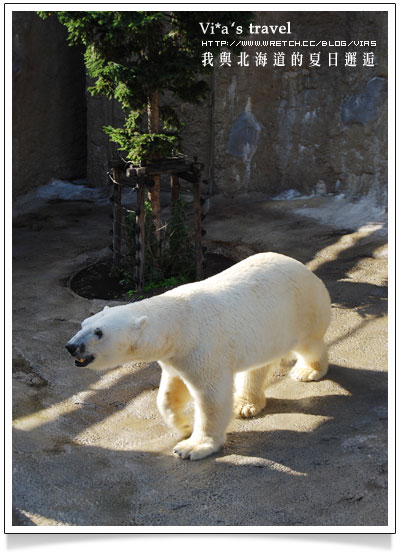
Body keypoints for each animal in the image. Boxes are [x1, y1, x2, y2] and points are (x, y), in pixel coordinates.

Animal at [66, 253, 332, 460]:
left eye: (99, 332)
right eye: (83, 324)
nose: (71, 346)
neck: (178, 322)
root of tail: (304, 268)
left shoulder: (203, 348)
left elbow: (211, 398)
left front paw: (191, 447)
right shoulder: (177, 354)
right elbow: (170, 392)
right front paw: (183, 425)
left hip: (301, 310)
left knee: (310, 344)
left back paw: (307, 370)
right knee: (257, 365)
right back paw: (245, 405)